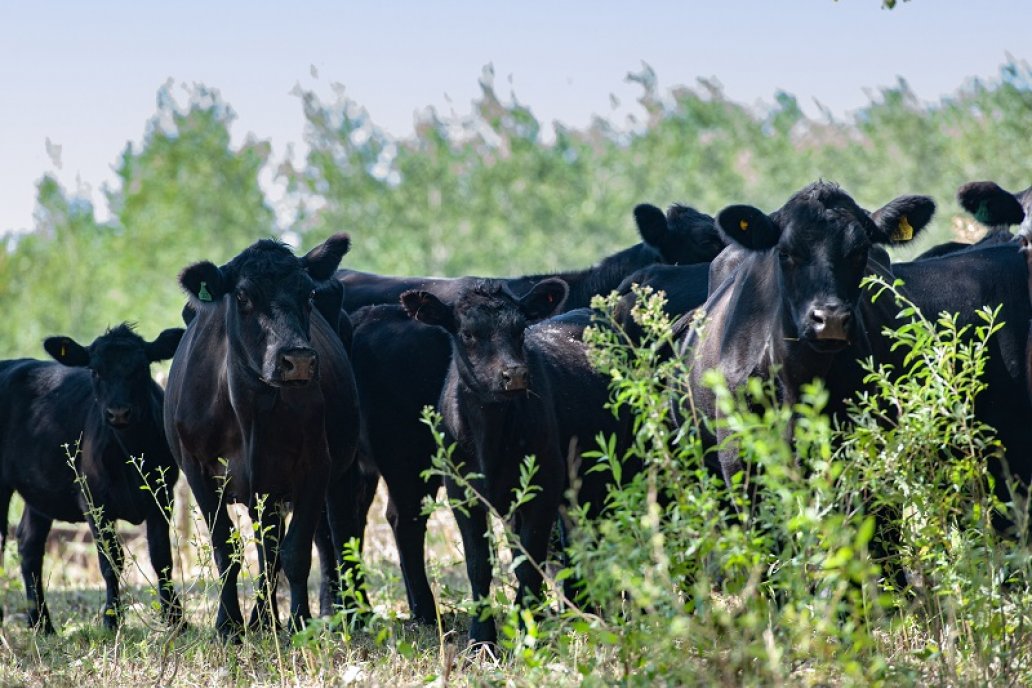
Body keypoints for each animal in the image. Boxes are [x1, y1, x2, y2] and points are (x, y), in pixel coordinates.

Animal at [0, 325, 183, 631]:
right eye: (95, 371)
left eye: (141, 368)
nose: (118, 413)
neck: (130, 450)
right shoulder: (94, 501)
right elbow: (111, 559)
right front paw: (111, 620)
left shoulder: (162, 495)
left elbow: (161, 557)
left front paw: (176, 619)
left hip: (39, 490)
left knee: (29, 544)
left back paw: (42, 624)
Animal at [163, 234, 361, 639]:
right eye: (242, 296)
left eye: (308, 293)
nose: (298, 359)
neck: (248, 411)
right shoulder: (198, 470)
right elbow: (227, 549)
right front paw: (229, 624)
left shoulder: (316, 465)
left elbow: (295, 551)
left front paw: (299, 622)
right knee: (268, 548)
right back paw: (261, 620)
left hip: (334, 472)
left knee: (334, 536)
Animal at [398, 276, 569, 643]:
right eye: (468, 334)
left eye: (521, 329)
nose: (514, 374)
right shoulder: (462, 492)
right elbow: (479, 563)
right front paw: (481, 636)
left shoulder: (544, 485)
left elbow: (529, 561)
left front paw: (526, 630)